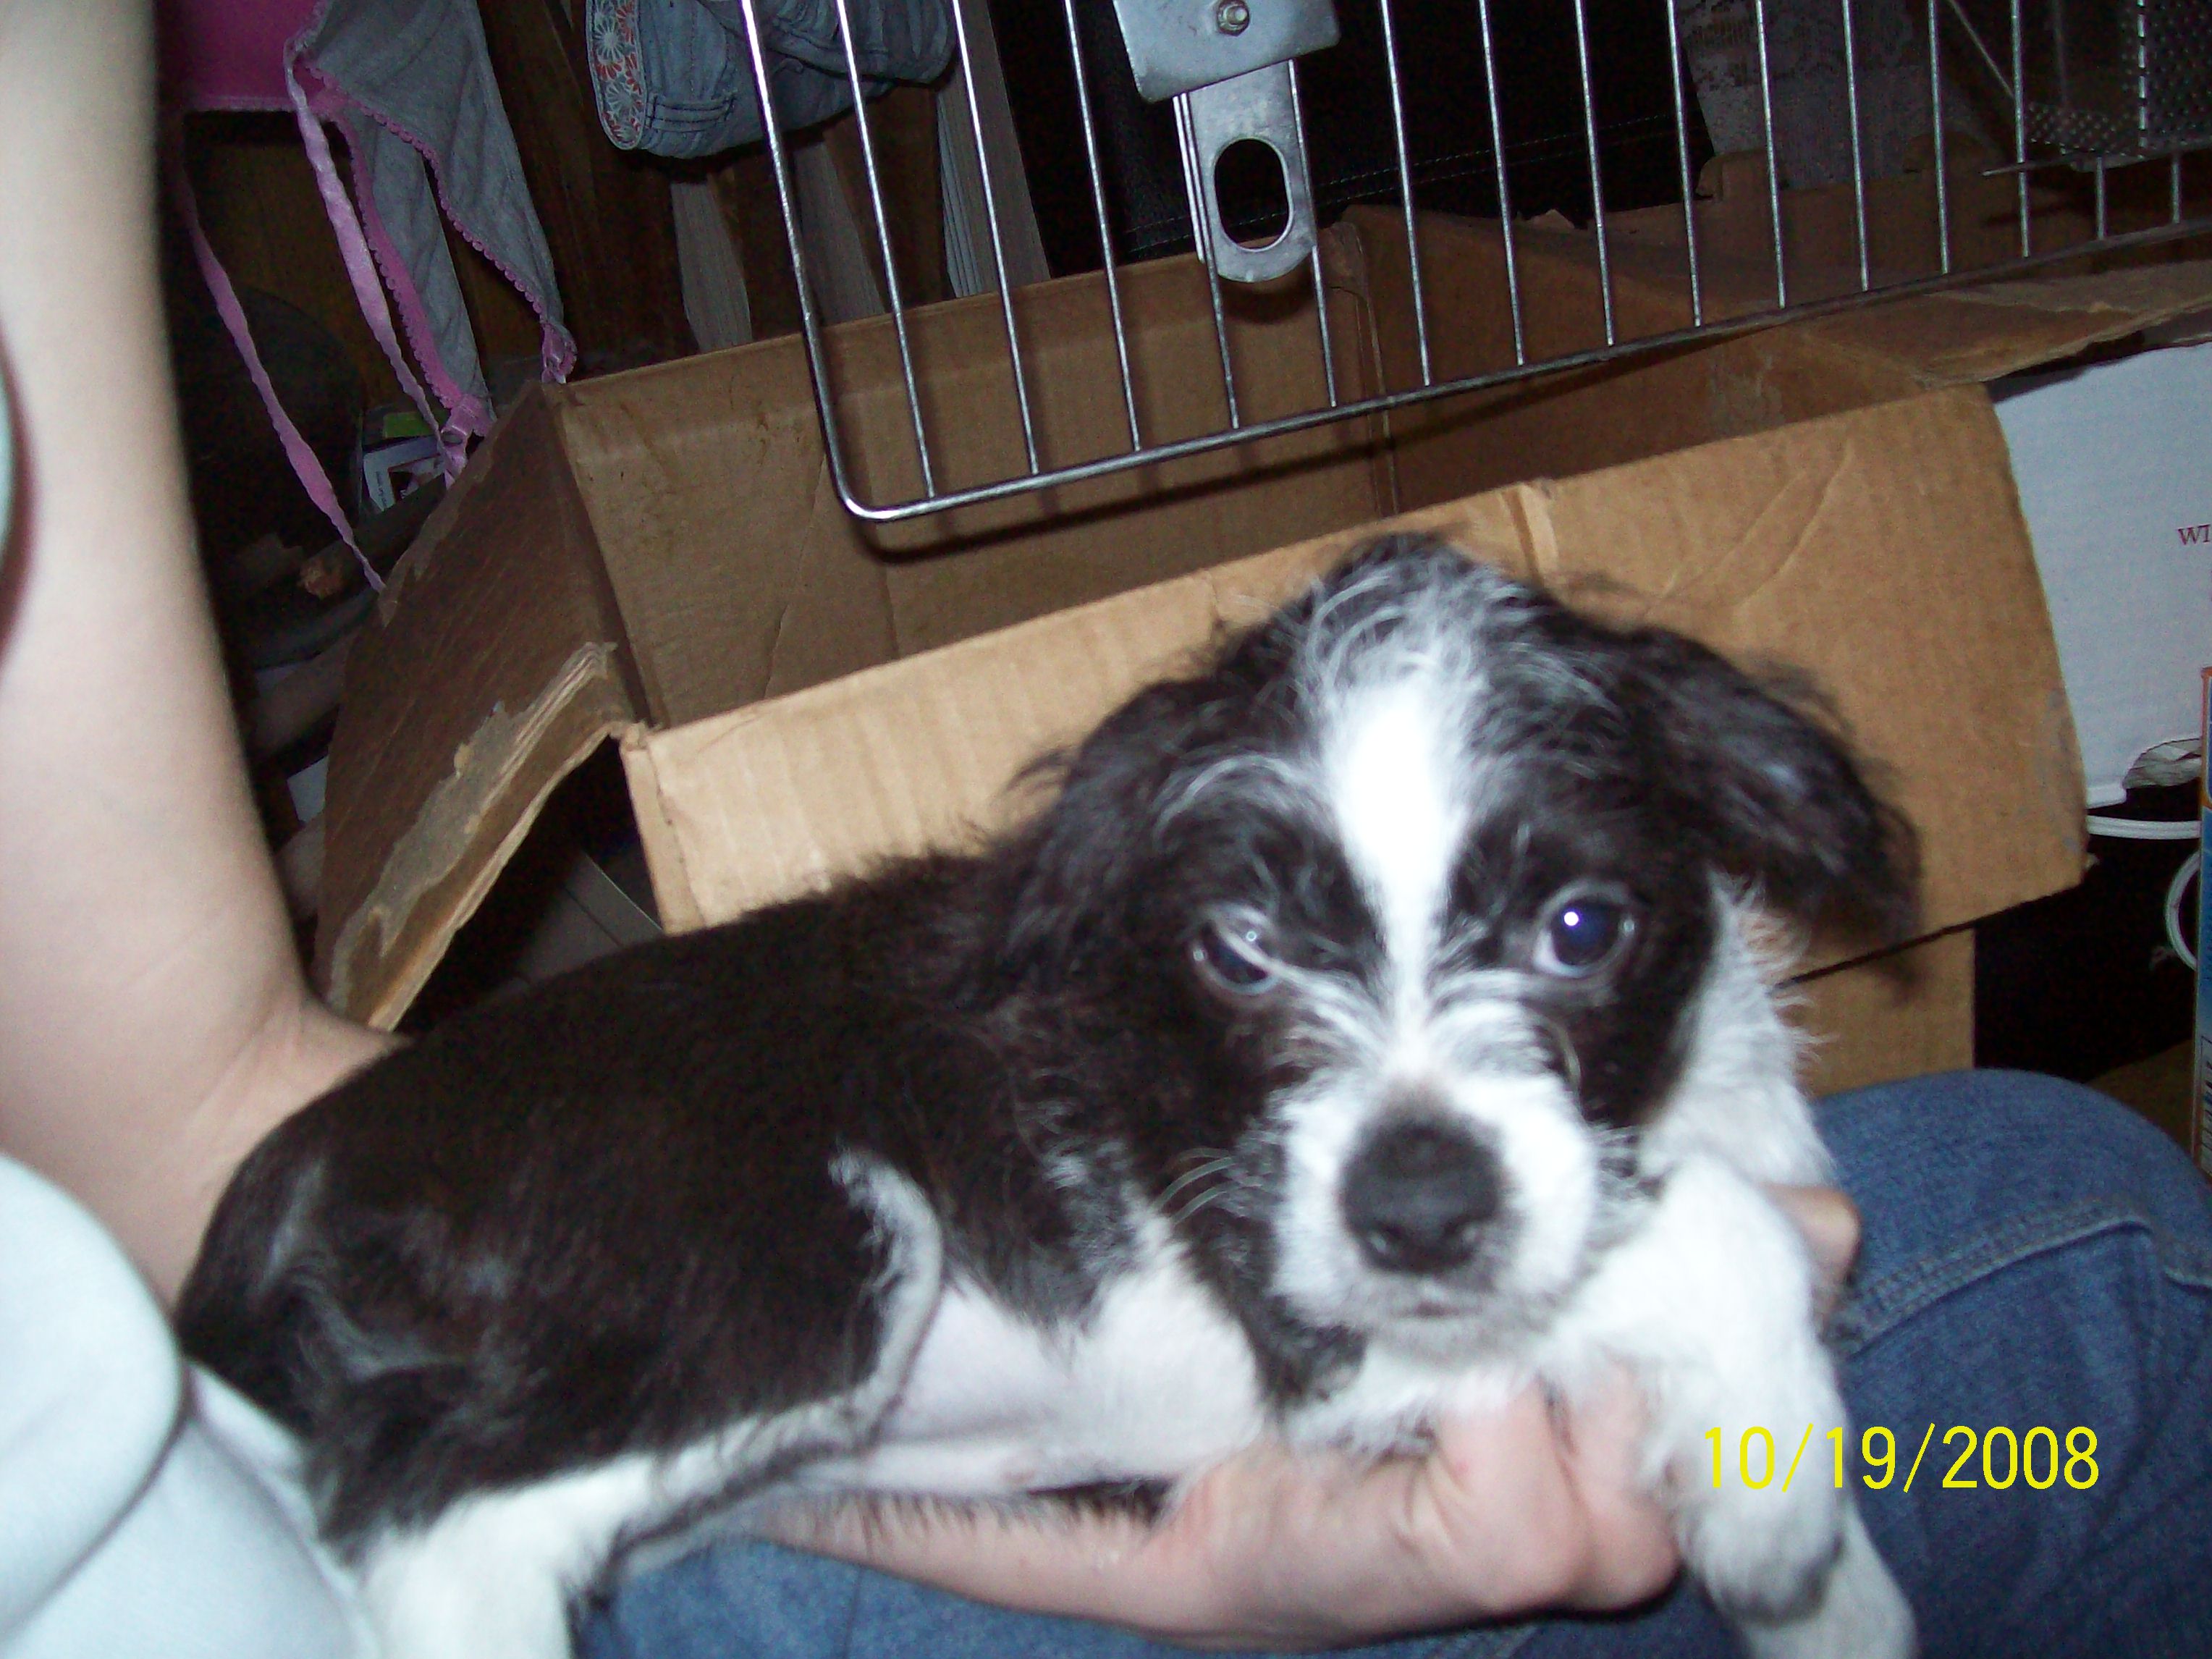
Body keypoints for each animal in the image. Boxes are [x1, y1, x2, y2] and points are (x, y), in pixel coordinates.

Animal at [181, 539, 1920, 1659]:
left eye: (1580, 928)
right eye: (1238, 951)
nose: (1418, 1217)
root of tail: (291, 1171)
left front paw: (1808, 1583)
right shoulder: (1298, 1304)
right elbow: (1726, 1233)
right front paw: (1778, 1497)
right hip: (791, 1255)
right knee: (427, 1522)